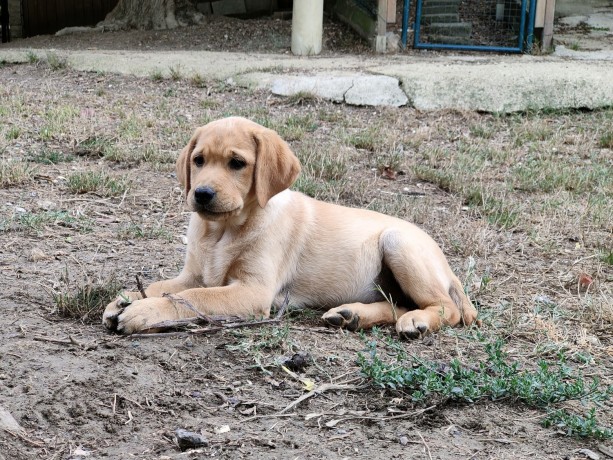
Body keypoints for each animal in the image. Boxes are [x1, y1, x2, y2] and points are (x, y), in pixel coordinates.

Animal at [103, 115, 478, 338]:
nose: (202, 194)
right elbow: (162, 285)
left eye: (237, 163)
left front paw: (143, 310)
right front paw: (123, 299)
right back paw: (351, 315)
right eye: (198, 161)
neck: (222, 232)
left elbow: (192, 297)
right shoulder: (193, 274)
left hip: (398, 242)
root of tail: (448, 268)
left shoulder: (253, 291)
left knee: (446, 308)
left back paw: (416, 322)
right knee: (399, 303)